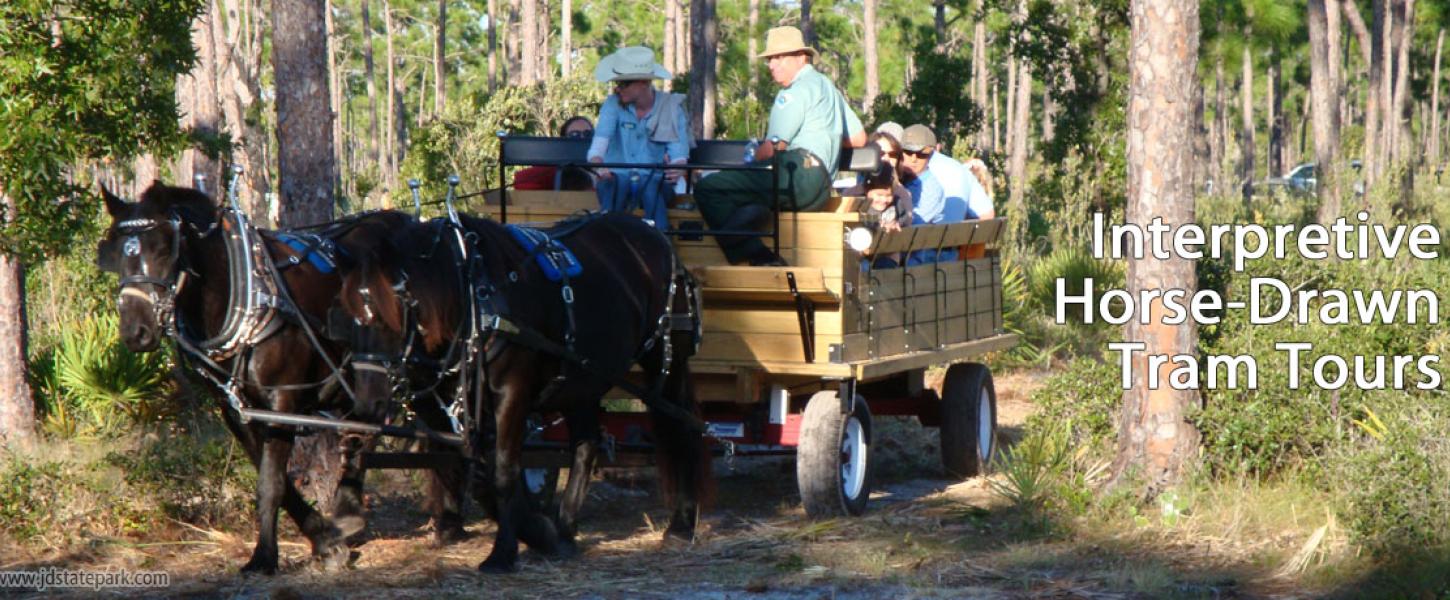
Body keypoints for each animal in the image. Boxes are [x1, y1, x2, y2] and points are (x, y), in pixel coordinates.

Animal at [94, 184, 455, 576]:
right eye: (116, 252)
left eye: (162, 248)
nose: (136, 332)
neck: (245, 290)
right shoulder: (236, 409)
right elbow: (277, 481)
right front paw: (325, 540)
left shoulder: (282, 399)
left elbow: (271, 483)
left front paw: (264, 555)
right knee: (367, 428)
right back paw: (353, 511)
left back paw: (450, 518)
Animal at [334, 210, 707, 571]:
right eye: (347, 319)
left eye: (386, 318)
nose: (367, 402)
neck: (474, 296)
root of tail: (656, 236)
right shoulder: (456, 405)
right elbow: (475, 472)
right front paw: (540, 532)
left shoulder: (512, 393)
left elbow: (503, 473)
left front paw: (503, 552)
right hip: (582, 378)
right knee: (586, 445)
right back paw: (566, 531)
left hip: (667, 362)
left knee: (682, 430)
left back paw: (681, 525)